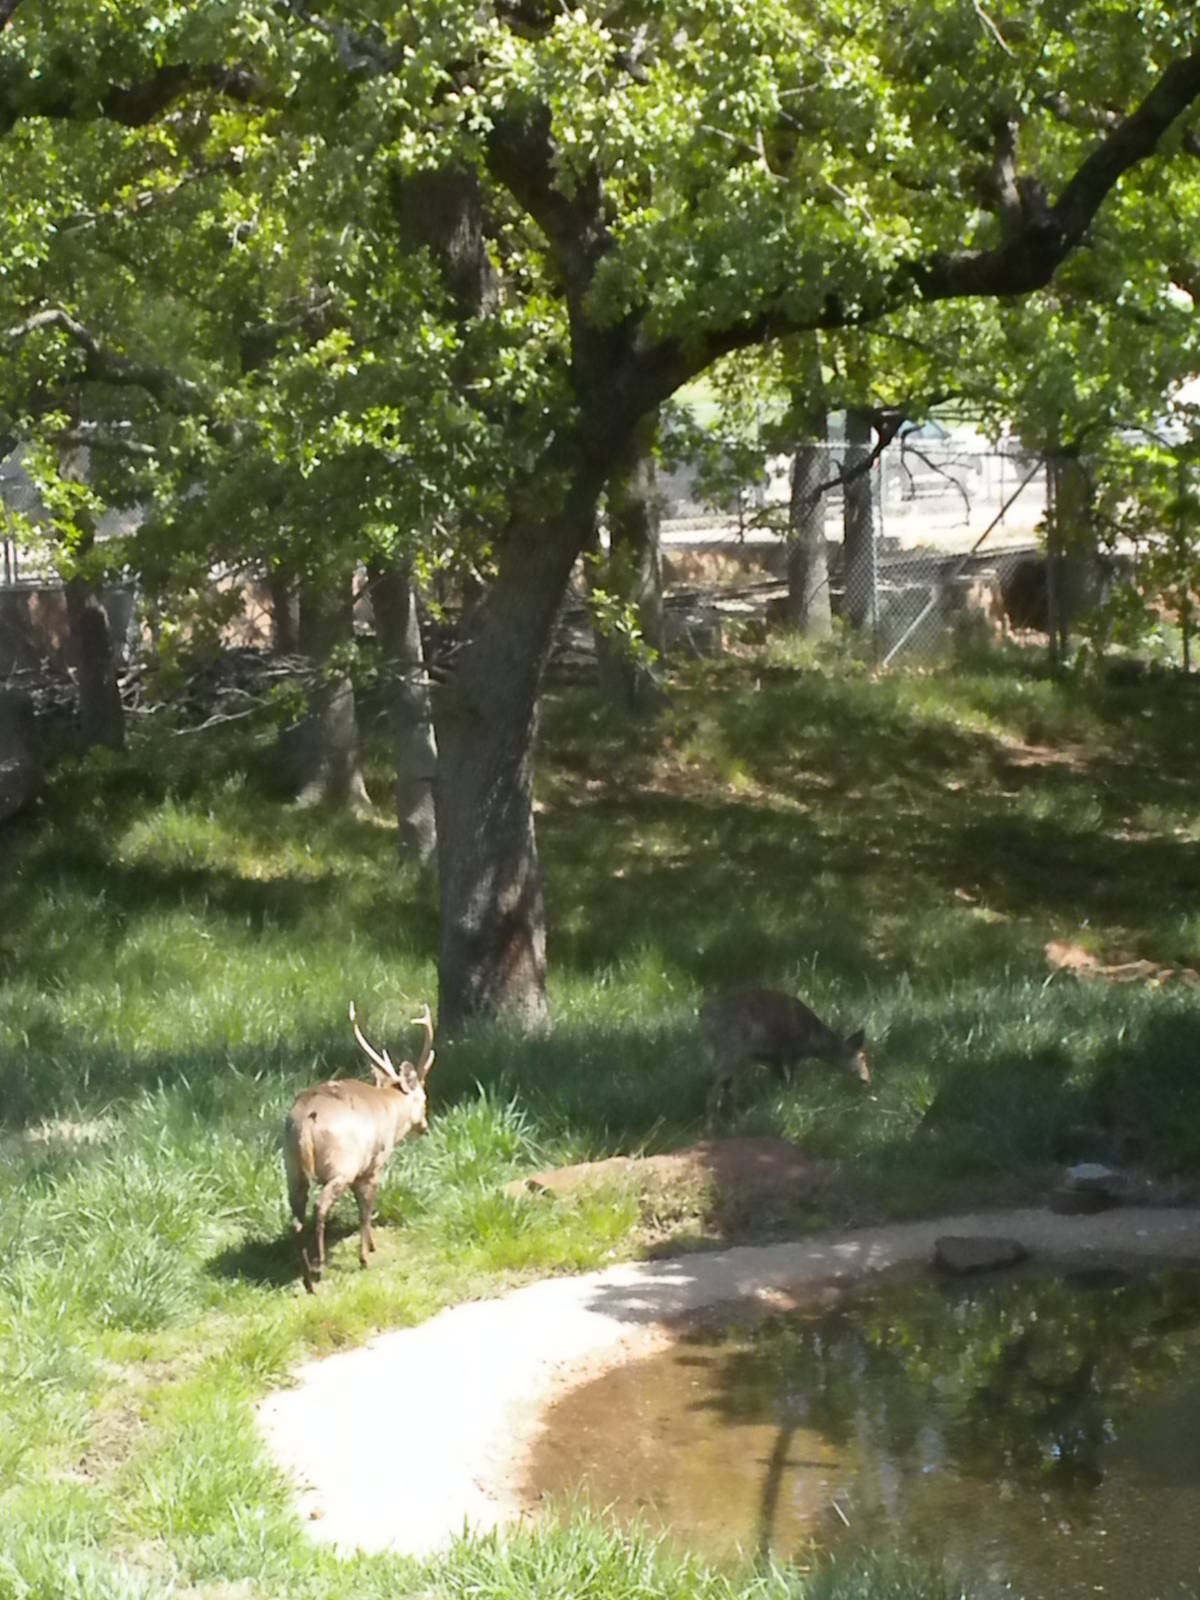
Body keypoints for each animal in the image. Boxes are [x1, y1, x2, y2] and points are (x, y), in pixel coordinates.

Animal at [284, 1000, 435, 1293]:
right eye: (424, 1098)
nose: (425, 1126)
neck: (390, 1107)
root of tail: (306, 1119)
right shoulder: (374, 1163)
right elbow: (365, 1209)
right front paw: (366, 1256)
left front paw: (372, 1245)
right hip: (342, 1163)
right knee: (320, 1206)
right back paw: (319, 1266)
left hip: (292, 1168)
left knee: (297, 1217)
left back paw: (307, 1278)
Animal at [701, 986, 869, 1117]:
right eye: (862, 1056)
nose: (866, 1079)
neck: (812, 1041)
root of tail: (704, 1020)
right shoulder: (788, 1052)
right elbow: (790, 1083)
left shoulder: (774, 1059)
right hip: (731, 1052)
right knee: (713, 1087)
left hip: (734, 1058)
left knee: (726, 1088)